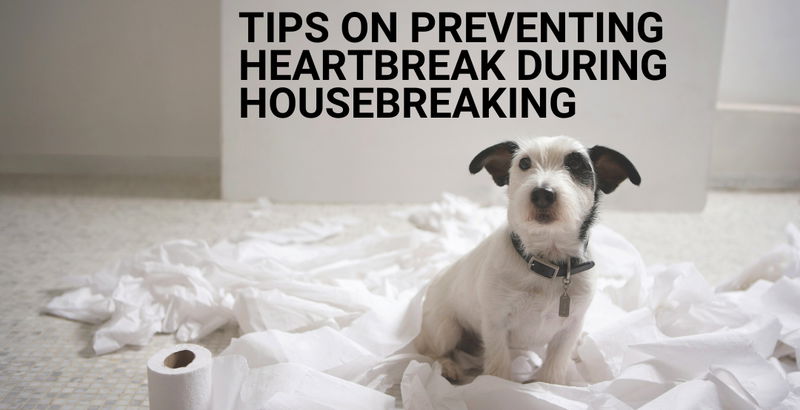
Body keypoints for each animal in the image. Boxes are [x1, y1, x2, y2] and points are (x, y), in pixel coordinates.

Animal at [416, 135, 640, 384]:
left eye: (576, 164)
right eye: (524, 163)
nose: (543, 193)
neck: (548, 263)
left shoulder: (570, 328)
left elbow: (555, 365)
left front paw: (547, 386)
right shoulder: (495, 324)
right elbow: (498, 364)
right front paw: (495, 386)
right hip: (445, 329)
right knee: (430, 352)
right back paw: (448, 367)